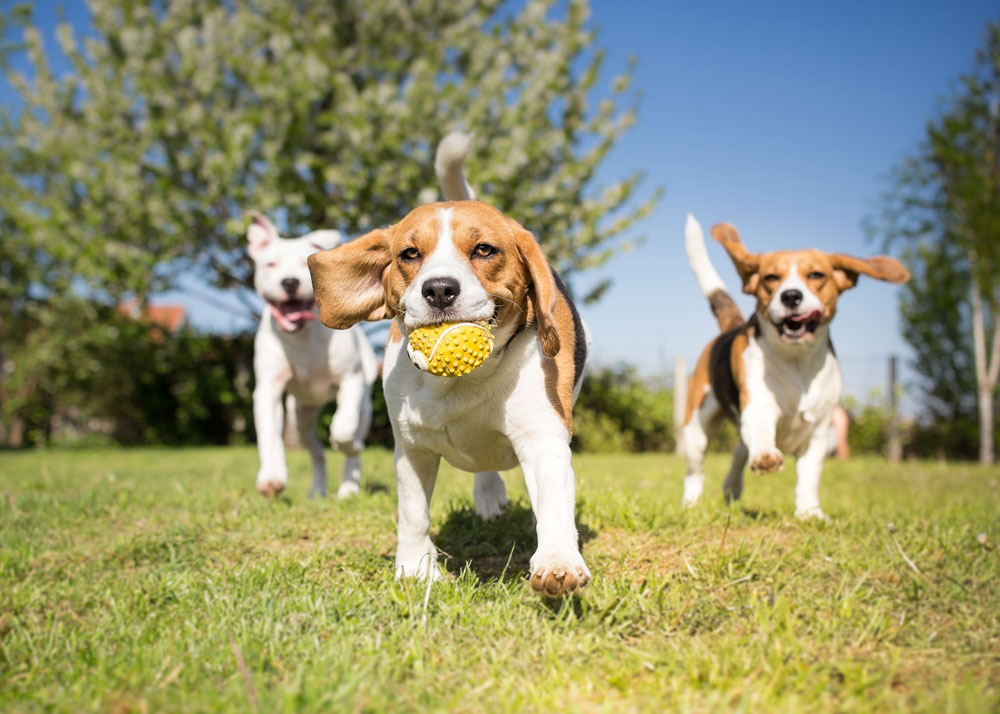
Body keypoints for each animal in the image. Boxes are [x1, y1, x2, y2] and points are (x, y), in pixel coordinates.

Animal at [248, 214, 376, 498]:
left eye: (304, 264)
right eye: (270, 264)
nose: (290, 282)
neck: (303, 336)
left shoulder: (350, 381)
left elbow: (343, 428)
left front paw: (347, 443)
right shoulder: (268, 390)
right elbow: (269, 434)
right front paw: (271, 477)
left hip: (364, 406)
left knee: (352, 442)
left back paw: (348, 487)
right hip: (301, 418)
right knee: (316, 452)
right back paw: (317, 490)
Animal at [308, 135, 588, 596]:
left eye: (484, 250)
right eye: (409, 254)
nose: (439, 289)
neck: (460, 383)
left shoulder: (543, 438)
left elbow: (551, 504)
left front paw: (557, 561)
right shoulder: (411, 448)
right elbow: (413, 514)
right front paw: (415, 569)